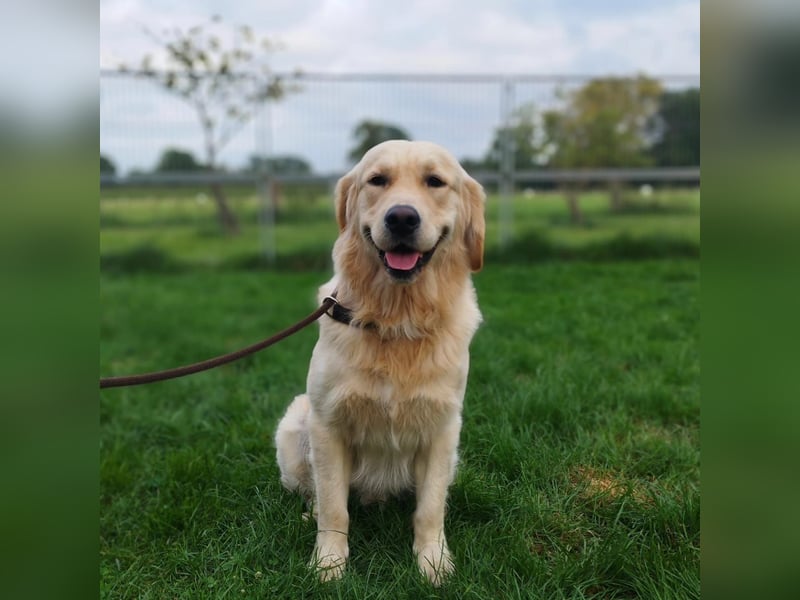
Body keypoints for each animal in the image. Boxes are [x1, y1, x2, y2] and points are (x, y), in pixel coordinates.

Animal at [276, 141, 484, 584]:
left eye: (435, 181)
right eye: (377, 180)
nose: (402, 217)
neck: (397, 320)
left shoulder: (443, 428)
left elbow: (430, 508)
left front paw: (432, 562)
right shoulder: (328, 424)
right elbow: (334, 506)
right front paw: (329, 563)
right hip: (295, 425)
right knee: (316, 493)